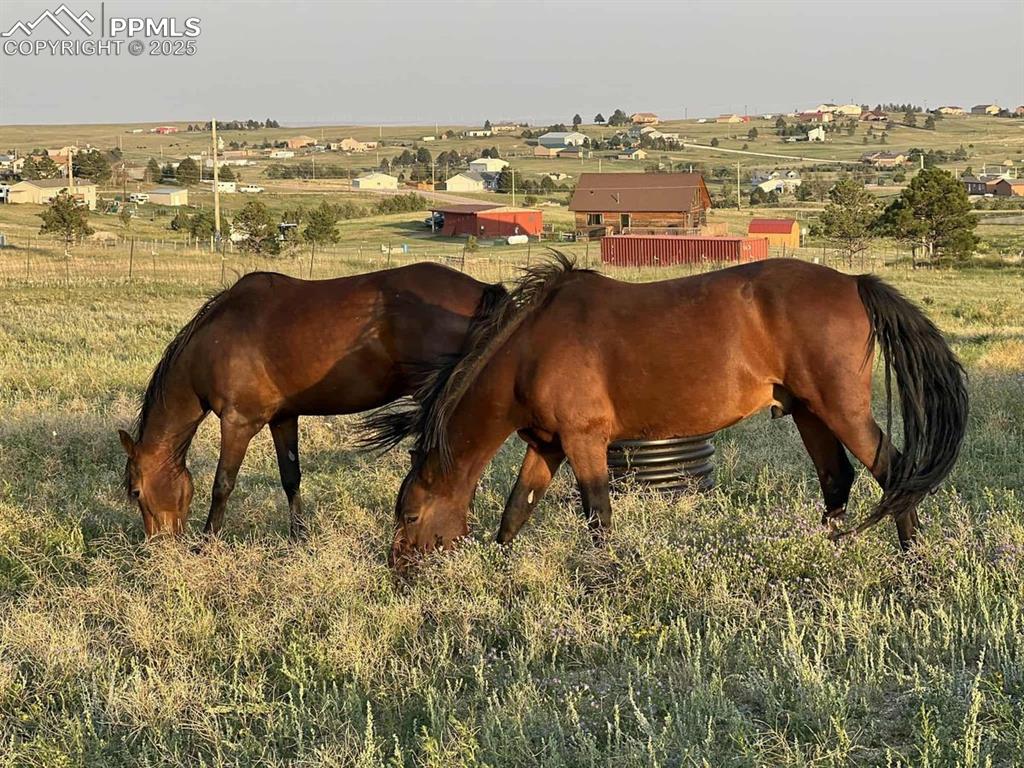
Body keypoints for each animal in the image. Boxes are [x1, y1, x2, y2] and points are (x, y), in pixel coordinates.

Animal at [118, 264, 506, 538]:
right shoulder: (282, 418)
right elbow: (291, 477)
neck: (214, 341)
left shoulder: (238, 422)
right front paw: (299, 537)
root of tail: (483, 290)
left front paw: (207, 541)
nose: (158, 544)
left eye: (136, 492)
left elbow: (222, 484)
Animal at [363, 253, 968, 569]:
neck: (530, 350)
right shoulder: (547, 446)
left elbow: (598, 516)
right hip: (808, 412)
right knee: (837, 477)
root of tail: (854, 283)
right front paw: (503, 571)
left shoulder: (585, 443)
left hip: (841, 410)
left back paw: (913, 560)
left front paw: (602, 579)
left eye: (409, 516)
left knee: (893, 472)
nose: (400, 573)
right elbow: (515, 514)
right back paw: (826, 556)